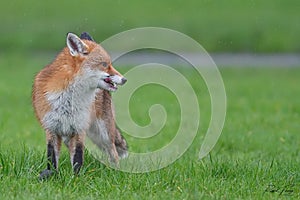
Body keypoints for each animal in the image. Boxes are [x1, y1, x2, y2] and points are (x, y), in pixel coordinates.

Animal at [32, 32, 127, 179]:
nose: (124, 79)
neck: (67, 100)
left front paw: (75, 179)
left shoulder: (79, 129)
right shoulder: (51, 129)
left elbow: (77, 158)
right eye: (105, 64)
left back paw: (116, 172)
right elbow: (52, 159)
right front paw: (53, 176)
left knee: (113, 153)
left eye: (109, 64)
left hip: (103, 133)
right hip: (68, 136)